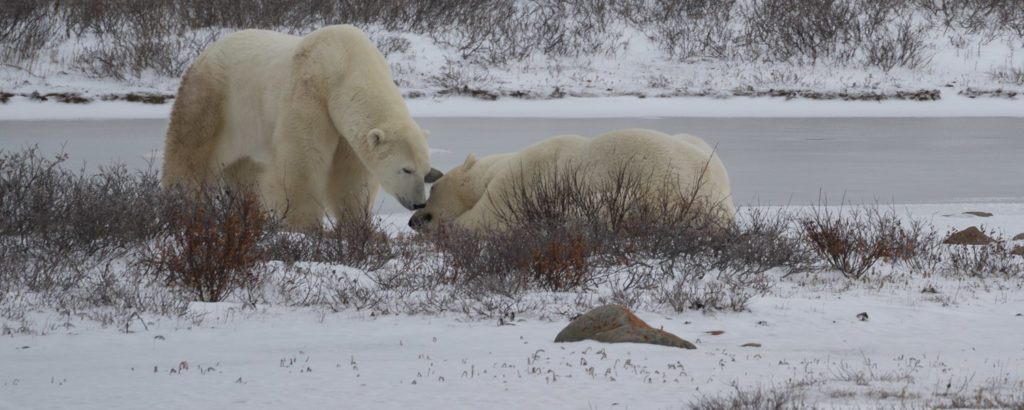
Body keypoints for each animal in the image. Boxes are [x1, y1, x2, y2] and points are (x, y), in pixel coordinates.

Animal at [161, 25, 442, 230]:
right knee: (190, 150)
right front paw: (304, 228)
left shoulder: (345, 128)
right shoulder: (310, 95)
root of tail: (205, 52)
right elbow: (302, 162)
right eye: (406, 169)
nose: (419, 203)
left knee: (244, 169)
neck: (345, 62)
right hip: (214, 99)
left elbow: (352, 174)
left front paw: (357, 225)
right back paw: (180, 202)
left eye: (425, 170)